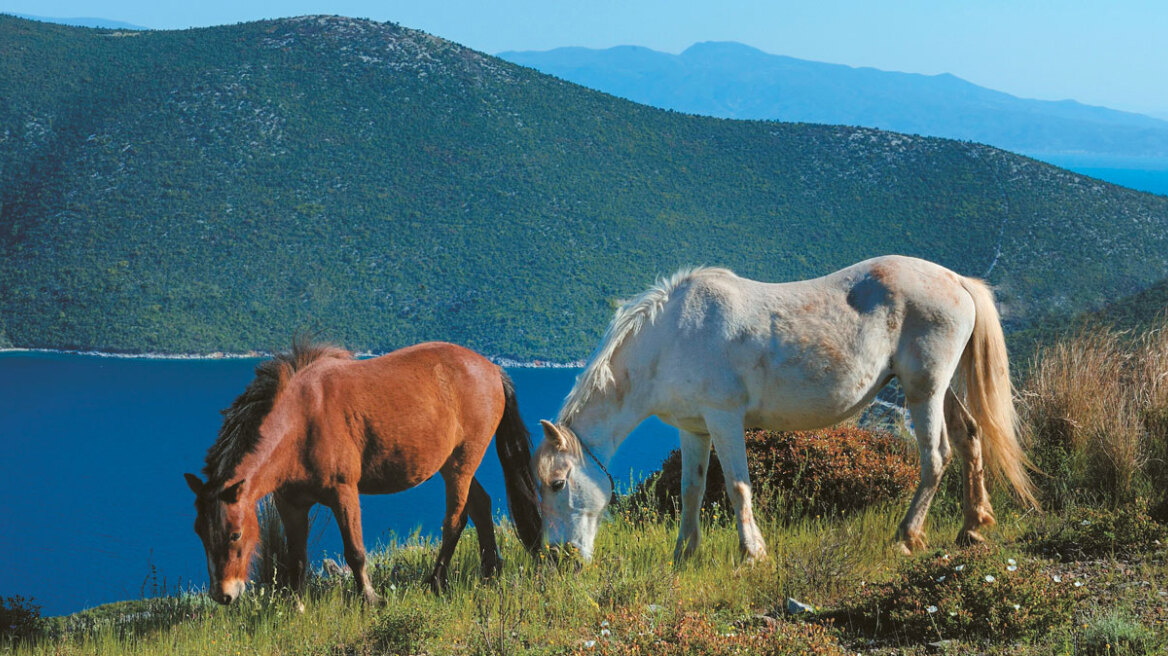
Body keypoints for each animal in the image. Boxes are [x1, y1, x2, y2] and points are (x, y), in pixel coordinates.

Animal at [183, 336, 541, 602]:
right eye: (199, 531)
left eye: (235, 534)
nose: (223, 595)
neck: (301, 422)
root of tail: (493, 369)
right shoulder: (290, 505)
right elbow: (296, 559)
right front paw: (296, 606)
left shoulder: (343, 492)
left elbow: (354, 550)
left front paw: (370, 598)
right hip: (452, 463)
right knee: (480, 505)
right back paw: (490, 572)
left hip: (461, 464)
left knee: (455, 520)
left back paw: (436, 581)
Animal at [534, 253, 1037, 560]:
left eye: (558, 483)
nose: (558, 560)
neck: (672, 335)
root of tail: (957, 281)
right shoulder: (693, 428)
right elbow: (692, 490)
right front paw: (684, 555)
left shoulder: (724, 419)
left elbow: (737, 487)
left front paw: (752, 553)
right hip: (939, 386)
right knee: (969, 438)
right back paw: (972, 527)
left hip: (924, 391)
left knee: (936, 457)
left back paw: (906, 537)